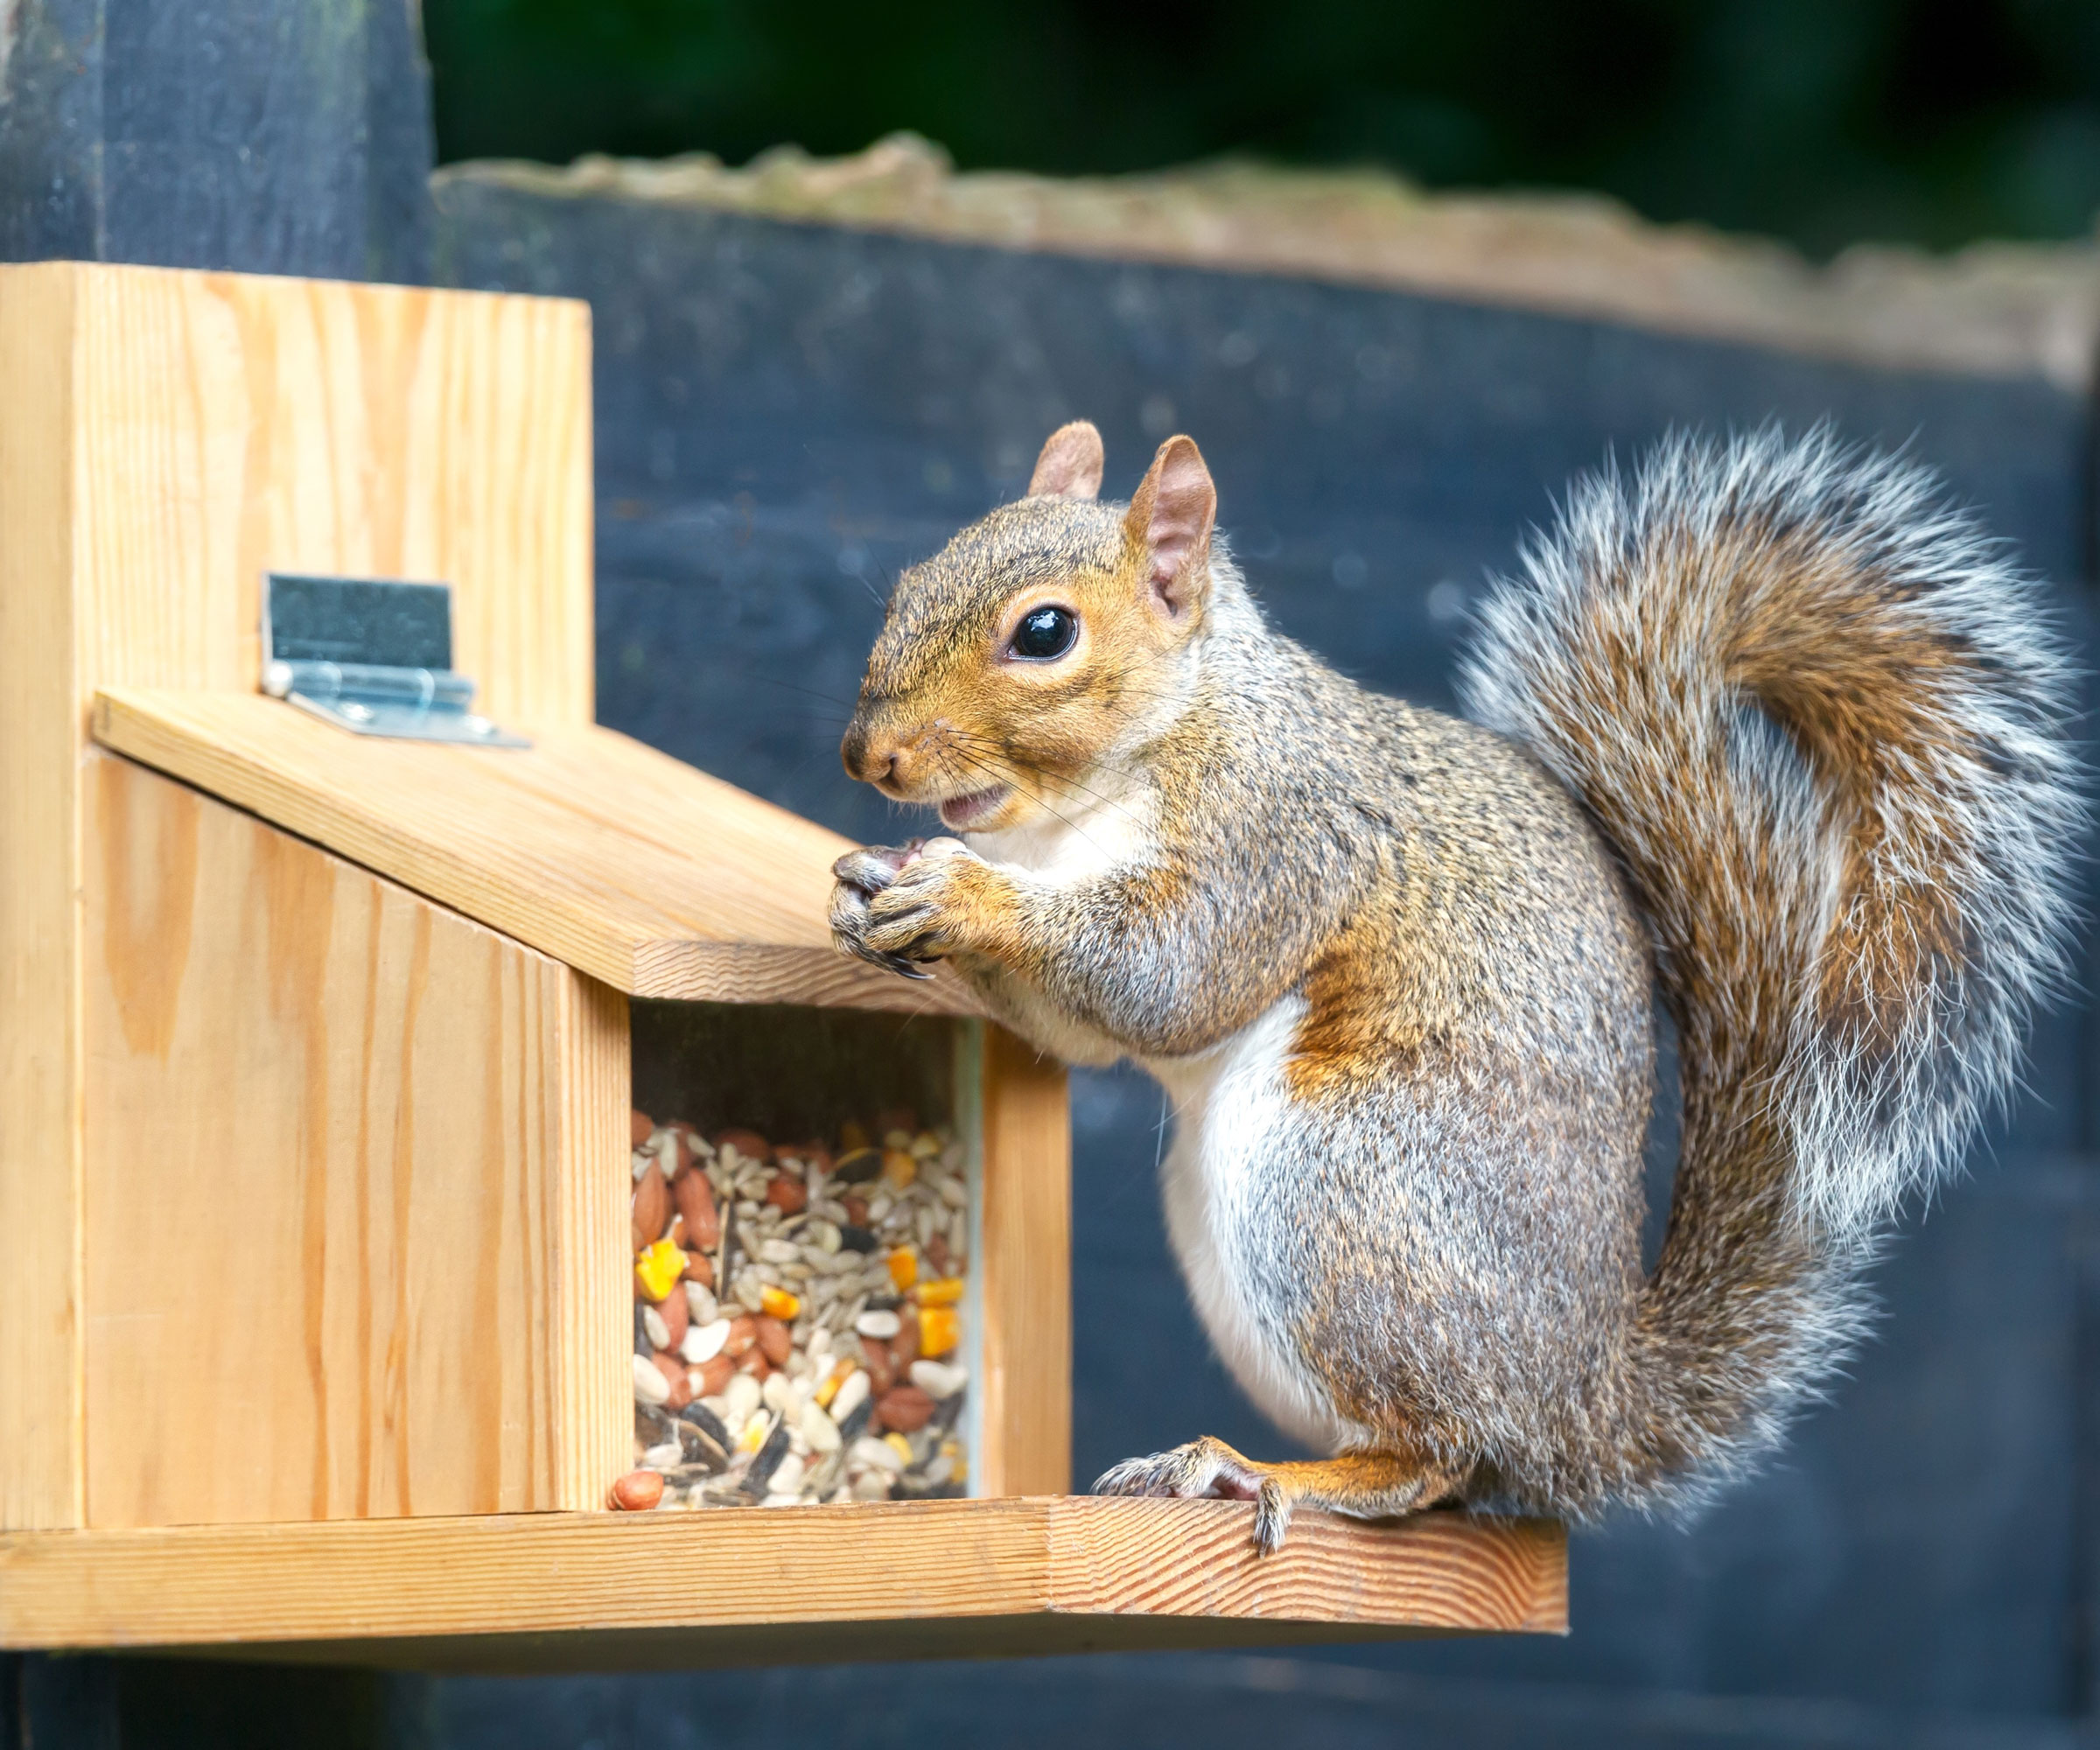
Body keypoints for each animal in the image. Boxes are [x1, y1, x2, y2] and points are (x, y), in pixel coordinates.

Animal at [828, 418, 2080, 1551]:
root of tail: (1581, 1403)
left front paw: (966, 898)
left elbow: (1170, 975)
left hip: (1337, 1185)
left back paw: (1255, 1472)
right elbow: (1088, 1031)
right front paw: (871, 889)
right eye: (911, 578)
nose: (867, 756)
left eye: (1044, 631)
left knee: (1434, 1456)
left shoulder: (1275, 834)